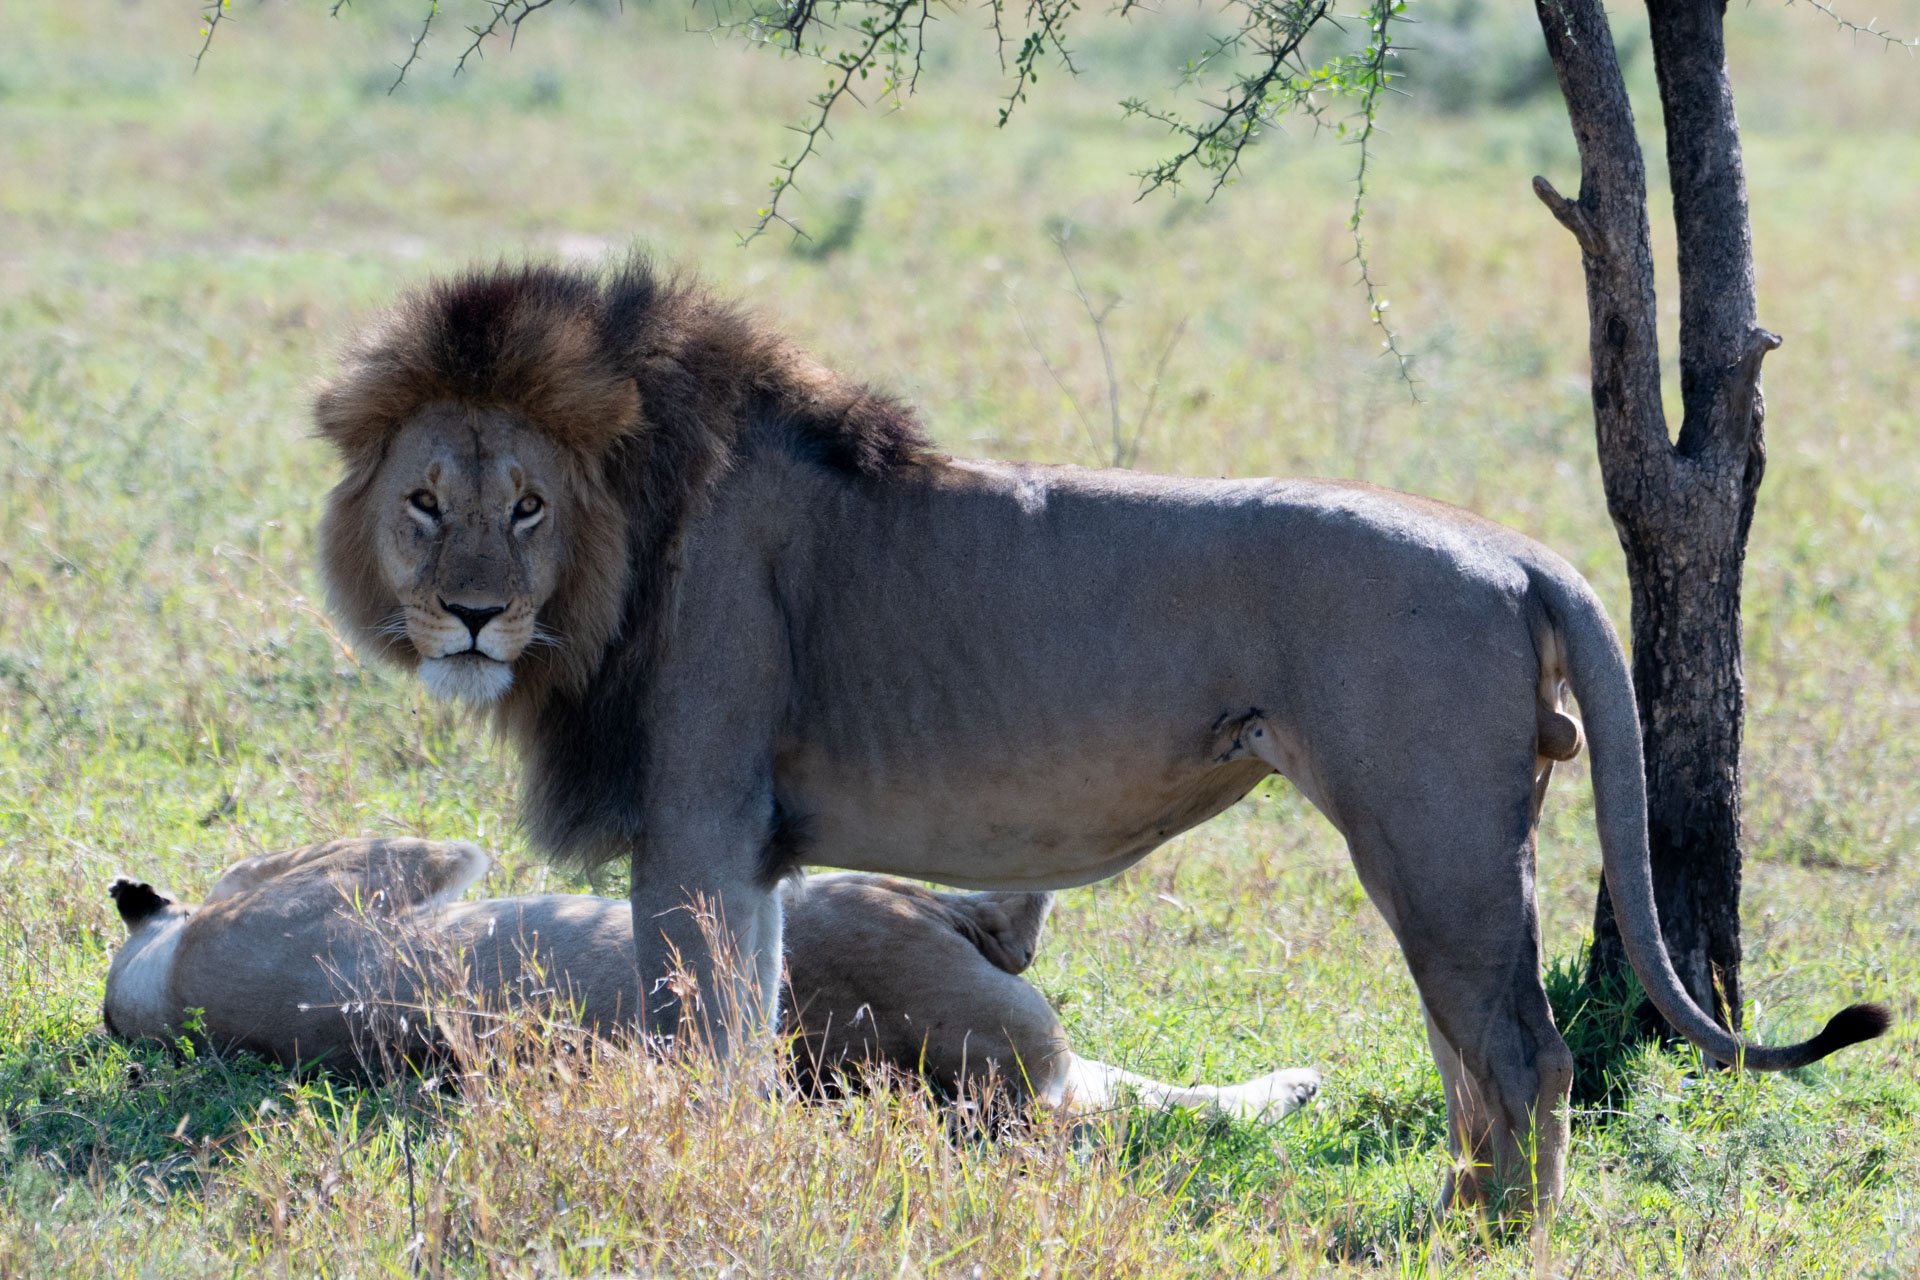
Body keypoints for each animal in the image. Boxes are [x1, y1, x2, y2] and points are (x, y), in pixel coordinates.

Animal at [312, 260, 1888, 1215]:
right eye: (425, 502)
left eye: (523, 506)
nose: (468, 617)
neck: (623, 547)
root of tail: (1514, 549)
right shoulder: (744, 844)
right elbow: (744, 1029)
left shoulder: (695, 814)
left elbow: (696, 1033)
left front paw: (693, 1168)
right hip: (1446, 844)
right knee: (1472, 1055)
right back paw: (1457, 1211)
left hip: (1428, 830)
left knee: (1523, 1055)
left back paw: (1492, 1237)